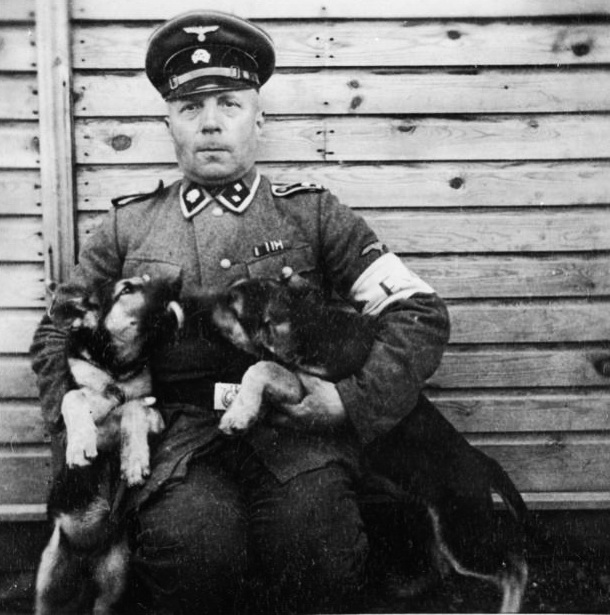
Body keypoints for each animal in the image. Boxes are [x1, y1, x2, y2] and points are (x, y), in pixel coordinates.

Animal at [35, 275, 183, 615]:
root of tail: (84, 559)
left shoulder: (155, 414)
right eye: (127, 289)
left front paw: (134, 461)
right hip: (48, 581)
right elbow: (72, 396)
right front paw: (80, 443)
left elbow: (134, 408)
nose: (177, 280)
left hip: (114, 581)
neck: (115, 369)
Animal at [202, 272, 529, 612]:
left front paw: (237, 416)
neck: (310, 322)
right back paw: (409, 587)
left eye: (233, 305)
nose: (198, 304)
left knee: (514, 567)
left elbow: (261, 368)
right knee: (446, 563)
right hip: (436, 521)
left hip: (461, 529)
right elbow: (264, 371)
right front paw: (249, 412)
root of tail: (483, 461)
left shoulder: (307, 386)